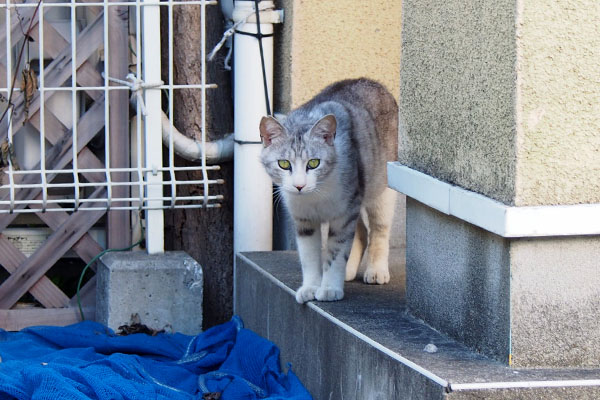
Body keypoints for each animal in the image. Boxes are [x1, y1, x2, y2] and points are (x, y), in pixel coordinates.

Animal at [258, 78, 396, 304]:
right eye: (284, 164)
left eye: (314, 163)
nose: (299, 185)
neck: (315, 197)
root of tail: (374, 82)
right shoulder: (304, 219)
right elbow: (309, 256)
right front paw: (311, 287)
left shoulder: (344, 213)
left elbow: (336, 252)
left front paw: (330, 288)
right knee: (361, 232)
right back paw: (349, 271)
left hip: (380, 187)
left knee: (379, 229)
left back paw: (376, 271)